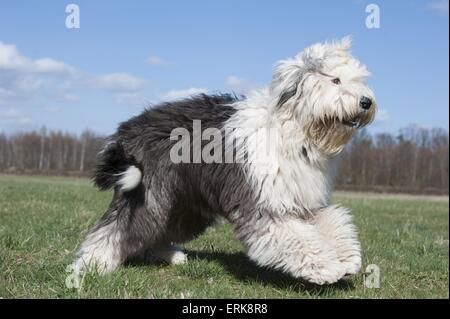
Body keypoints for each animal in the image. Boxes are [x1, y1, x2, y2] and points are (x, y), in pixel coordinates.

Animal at [73, 37, 376, 284]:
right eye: (335, 80)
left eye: (358, 80)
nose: (366, 102)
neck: (293, 132)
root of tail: (129, 128)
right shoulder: (263, 205)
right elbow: (296, 238)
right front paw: (326, 267)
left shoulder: (300, 200)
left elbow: (332, 221)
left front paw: (346, 258)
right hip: (148, 196)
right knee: (113, 230)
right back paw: (91, 265)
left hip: (184, 206)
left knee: (157, 231)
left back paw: (170, 256)